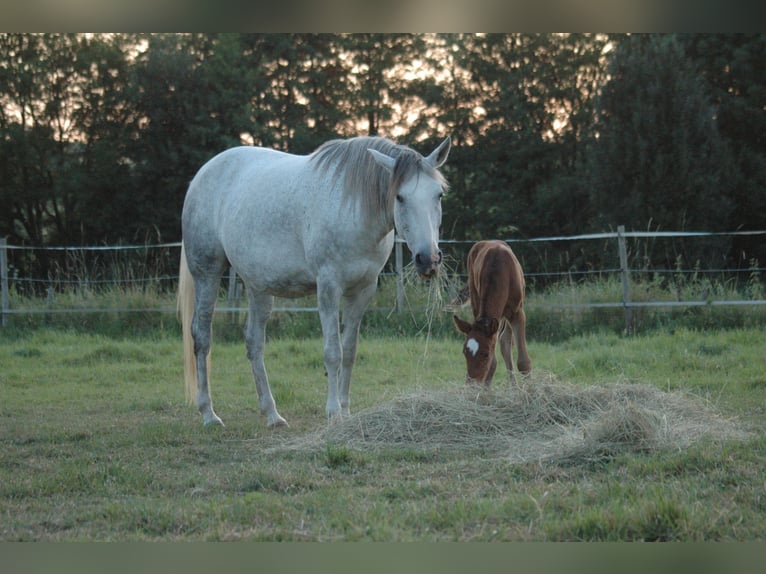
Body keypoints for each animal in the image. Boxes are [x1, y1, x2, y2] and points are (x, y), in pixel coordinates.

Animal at [178, 135, 451, 428]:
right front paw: (333, 412)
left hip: (257, 285)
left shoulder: (363, 290)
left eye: (439, 194)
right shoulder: (329, 287)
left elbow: (350, 352)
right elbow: (333, 352)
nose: (428, 259)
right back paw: (209, 414)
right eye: (399, 197)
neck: (353, 207)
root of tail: (202, 174)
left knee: (254, 342)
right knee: (202, 337)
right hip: (207, 273)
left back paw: (272, 414)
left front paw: (346, 411)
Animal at [452, 240, 531, 386]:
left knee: (505, 344)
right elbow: (493, 362)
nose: (472, 384)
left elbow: (523, 362)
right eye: (464, 352)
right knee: (504, 345)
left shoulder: (517, 313)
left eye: (485, 354)